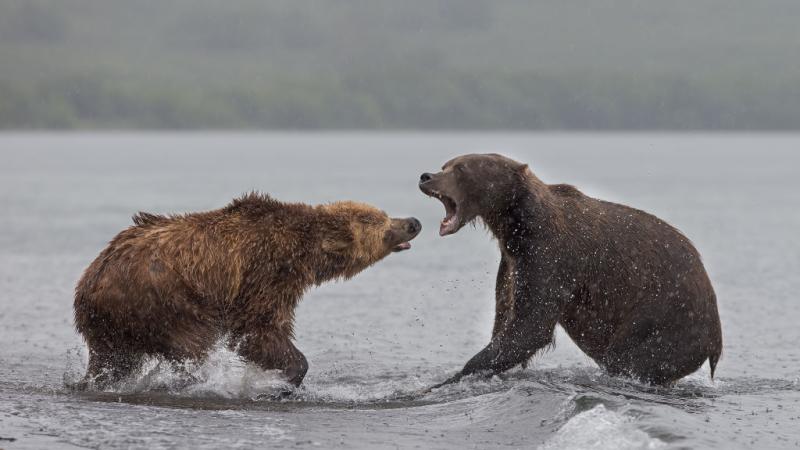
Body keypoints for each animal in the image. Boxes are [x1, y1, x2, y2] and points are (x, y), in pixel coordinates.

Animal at [73, 192, 421, 388]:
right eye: (380, 221)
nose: (413, 222)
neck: (302, 253)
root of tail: (92, 280)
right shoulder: (263, 273)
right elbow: (258, 329)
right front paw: (289, 374)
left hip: (111, 325)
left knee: (113, 360)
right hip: (163, 299)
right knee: (191, 342)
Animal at [419, 153, 722, 386]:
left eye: (461, 168)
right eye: (446, 164)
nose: (426, 176)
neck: (516, 223)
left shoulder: (549, 256)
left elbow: (531, 324)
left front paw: (449, 379)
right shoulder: (512, 263)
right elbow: (506, 316)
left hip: (665, 317)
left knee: (631, 359)